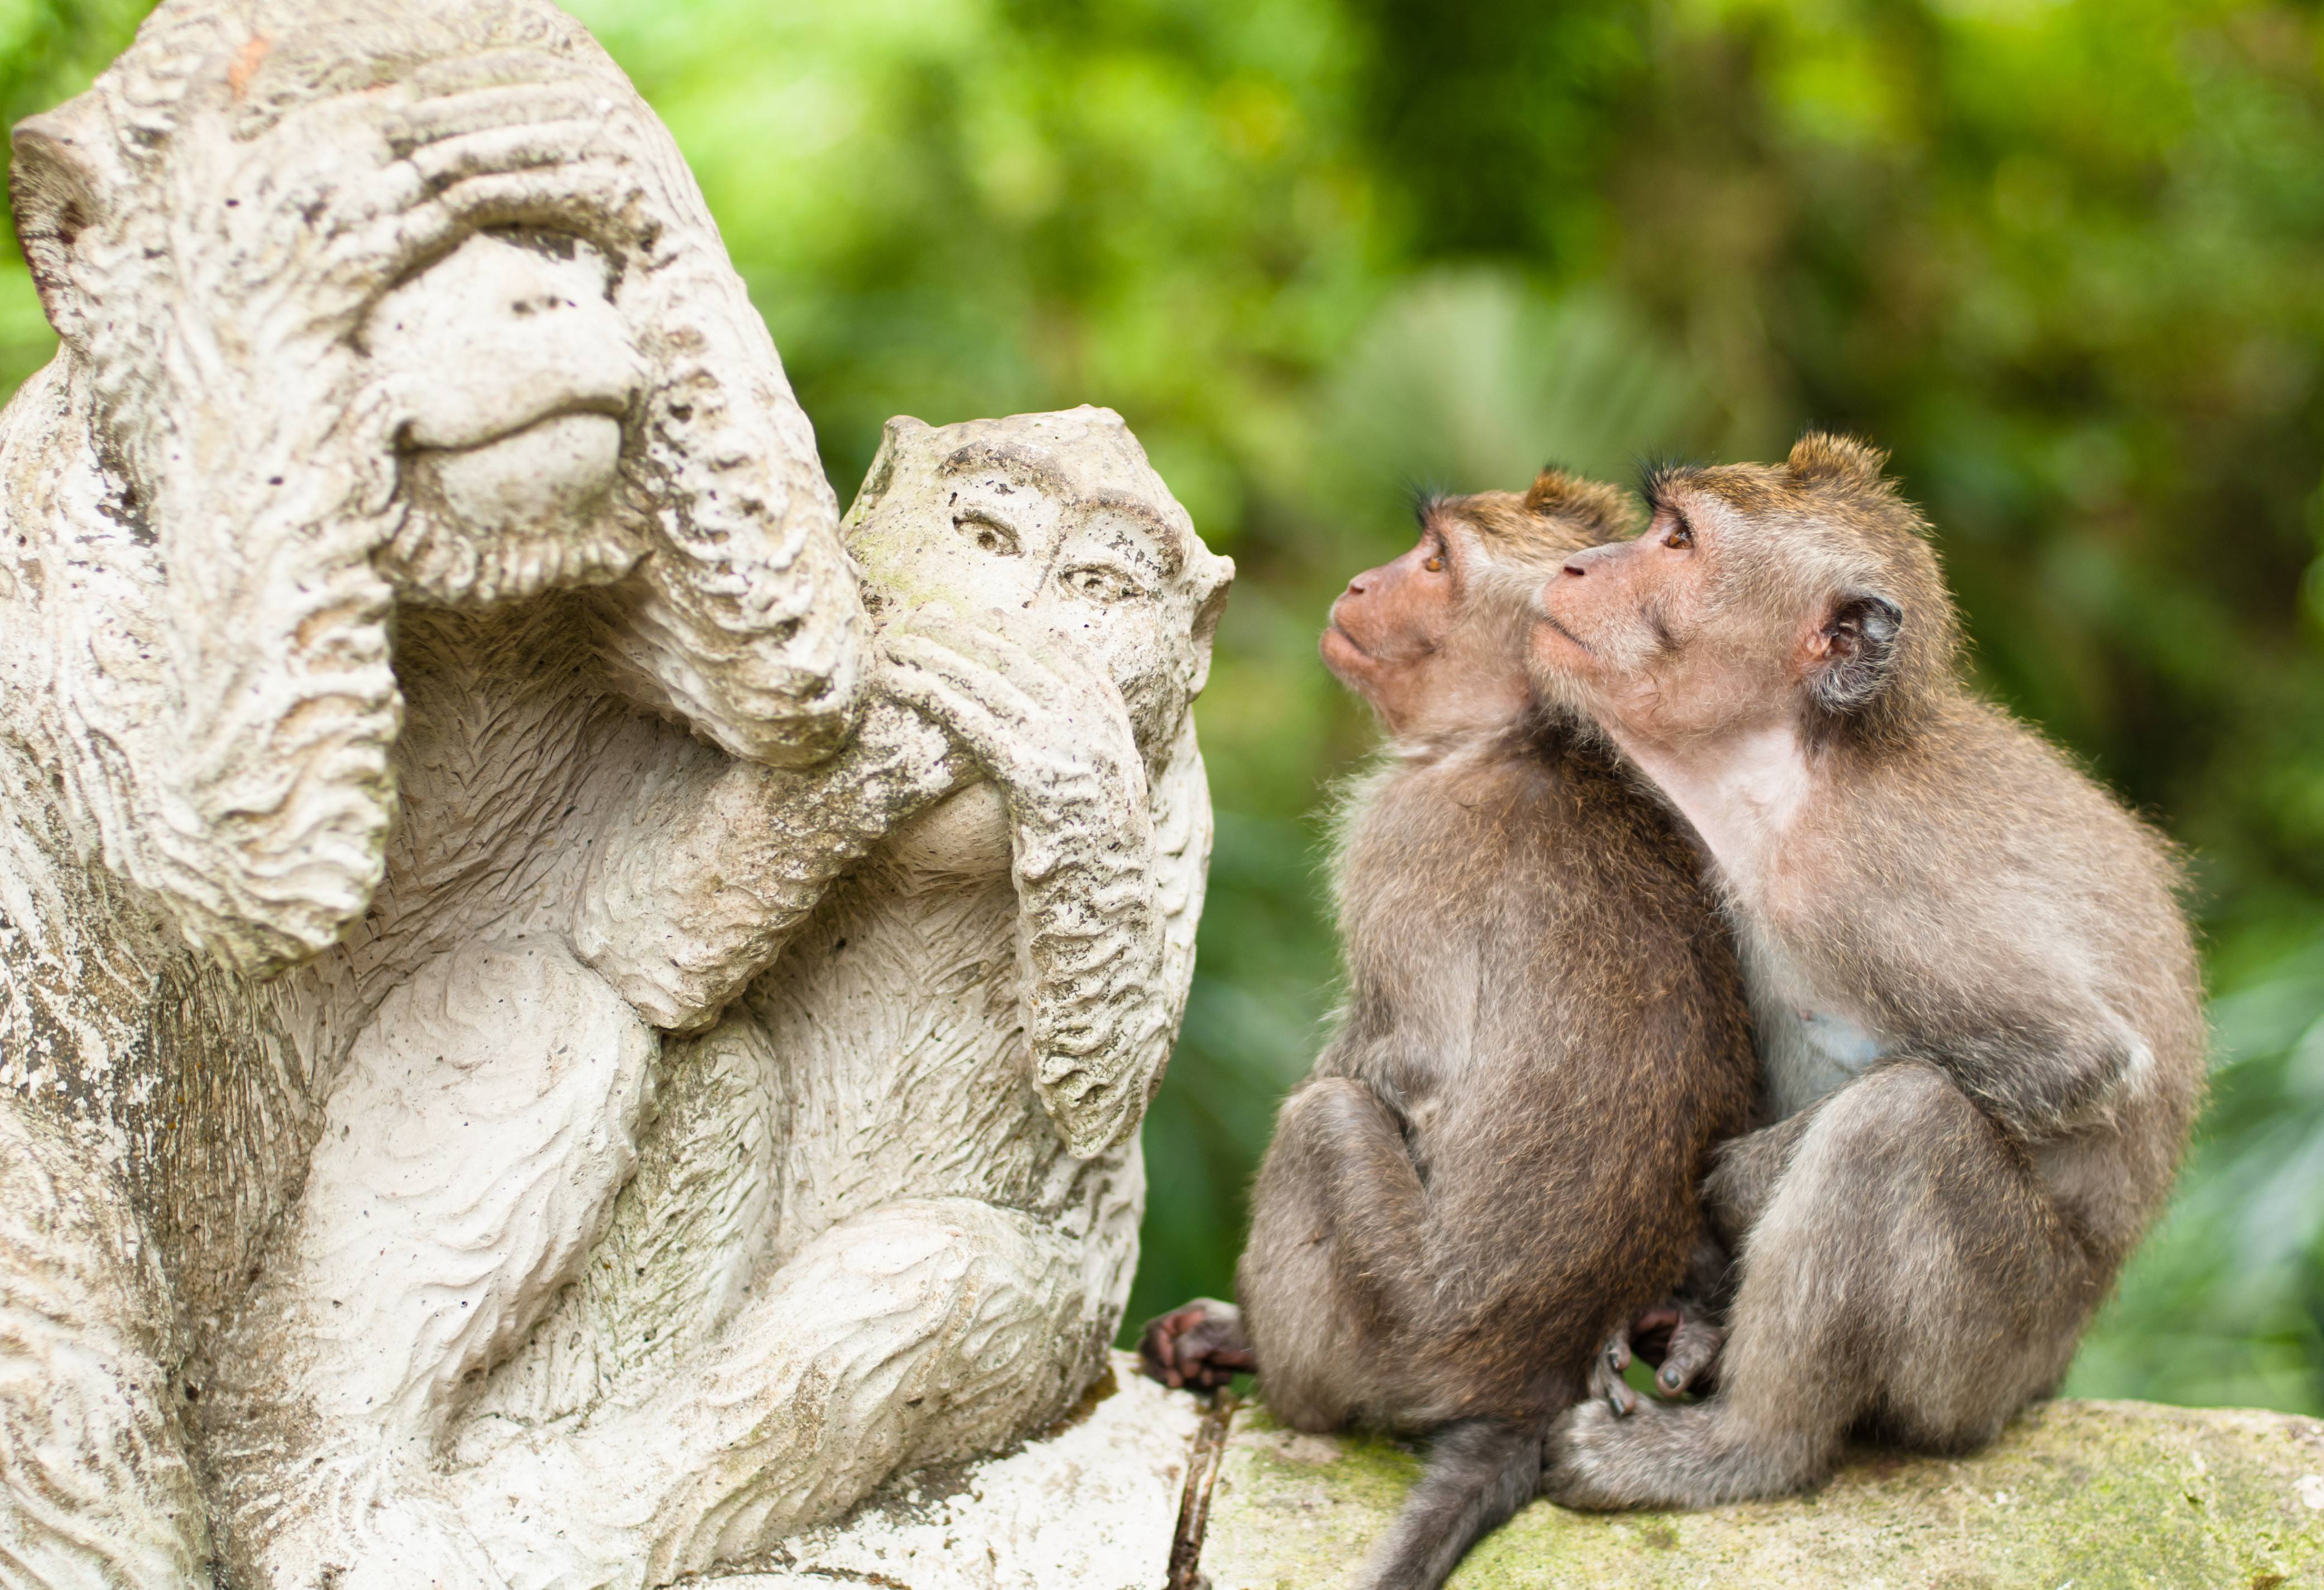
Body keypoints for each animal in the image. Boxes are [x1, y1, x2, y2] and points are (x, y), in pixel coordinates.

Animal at [1141, 470, 1757, 1590]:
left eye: (1433, 562)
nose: (1359, 582)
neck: (1519, 733)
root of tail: (1524, 1385)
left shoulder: (1402, 831)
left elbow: (1402, 1060)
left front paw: (1229, 1320)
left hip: (1396, 1330)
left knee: (1326, 1121)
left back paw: (1271, 1364)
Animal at [1527, 433, 2204, 1510]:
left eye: (1676, 540)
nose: (1578, 566)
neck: (1795, 769)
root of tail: (2048, 1371)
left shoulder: (1859, 880)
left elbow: (2078, 1060)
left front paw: (1731, 1187)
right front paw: (1694, 1299)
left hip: (1989, 1351)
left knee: (1898, 1126)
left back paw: (1743, 1447)